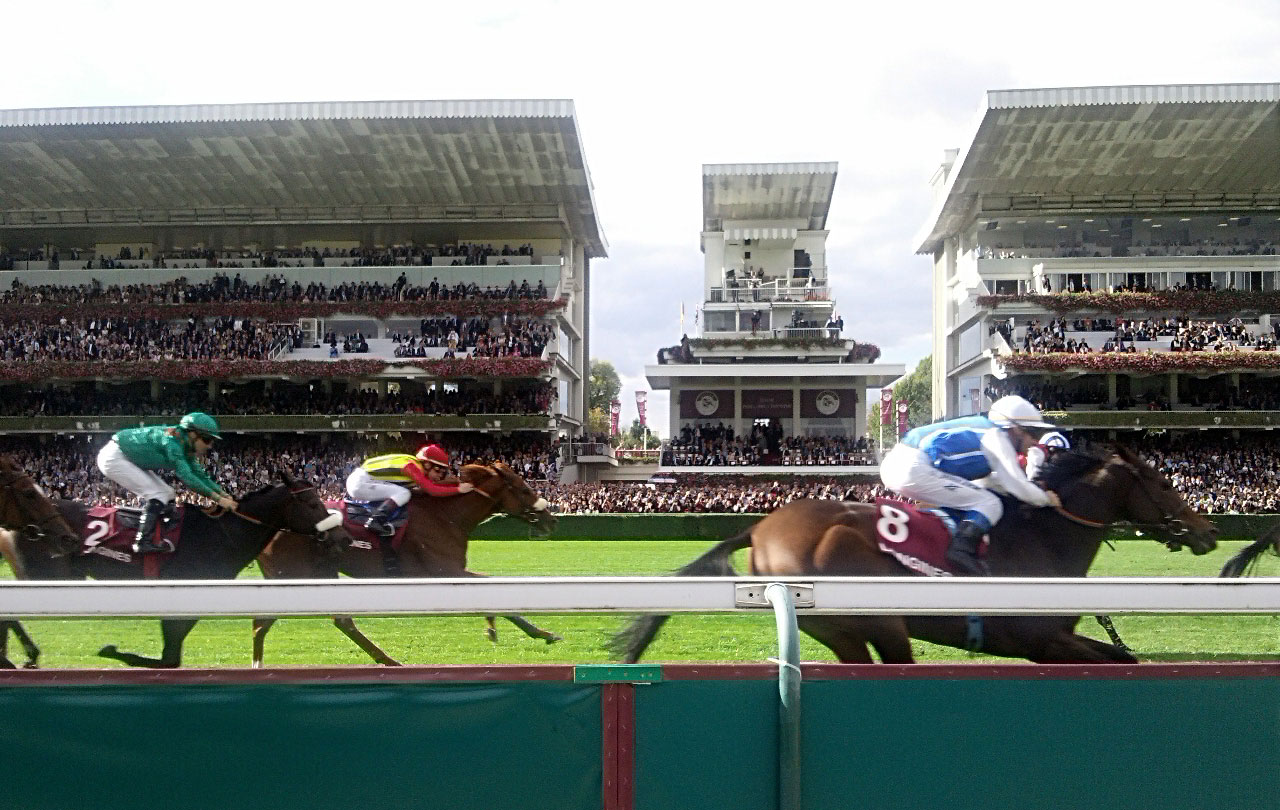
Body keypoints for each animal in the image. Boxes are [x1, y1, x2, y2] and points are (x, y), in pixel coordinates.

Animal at [1, 470, 350, 665]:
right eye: (312, 503)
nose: (343, 538)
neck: (219, 534)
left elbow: (170, 660)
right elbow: (169, 660)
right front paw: (112, 651)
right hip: (44, 575)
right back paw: (25, 655)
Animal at [254, 460, 560, 665]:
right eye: (524, 489)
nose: (551, 520)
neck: (445, 516)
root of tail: (270, 524)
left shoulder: (448, 571)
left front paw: (524, 630)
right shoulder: (446, 570)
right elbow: (491, 587)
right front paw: (533, 631)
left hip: (322, 572)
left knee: (341, 621)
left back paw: (388, 661)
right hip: (291, 575)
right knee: (260, 622)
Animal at [611, 447, 1218, 665]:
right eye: (1163, 482)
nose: (1208, 530)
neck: (1042, 538)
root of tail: (760, 529)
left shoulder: (1051, 644)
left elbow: (1122, 658)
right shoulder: (1040, 641)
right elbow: (1119, 662)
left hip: (842, 634)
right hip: (880, 620)